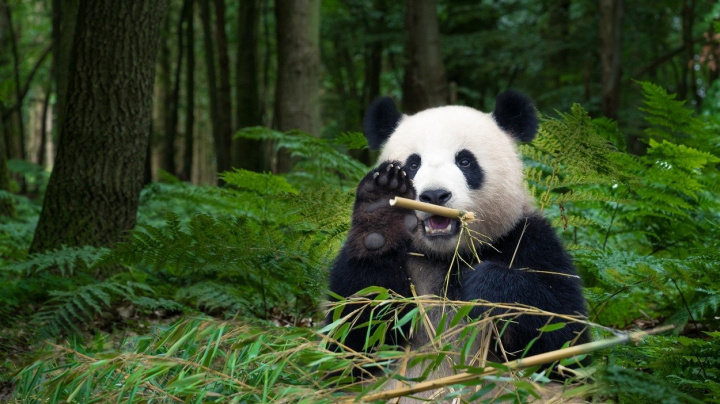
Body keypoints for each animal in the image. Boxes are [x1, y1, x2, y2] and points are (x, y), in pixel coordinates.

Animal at [330, 91, 588, 378]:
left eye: (465, 161)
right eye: (413, 164)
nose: (434, 195)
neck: (447, 256)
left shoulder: (528, 241)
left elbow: (563, 339)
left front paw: (484, 284)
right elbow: (352, 337)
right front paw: (381, 210)